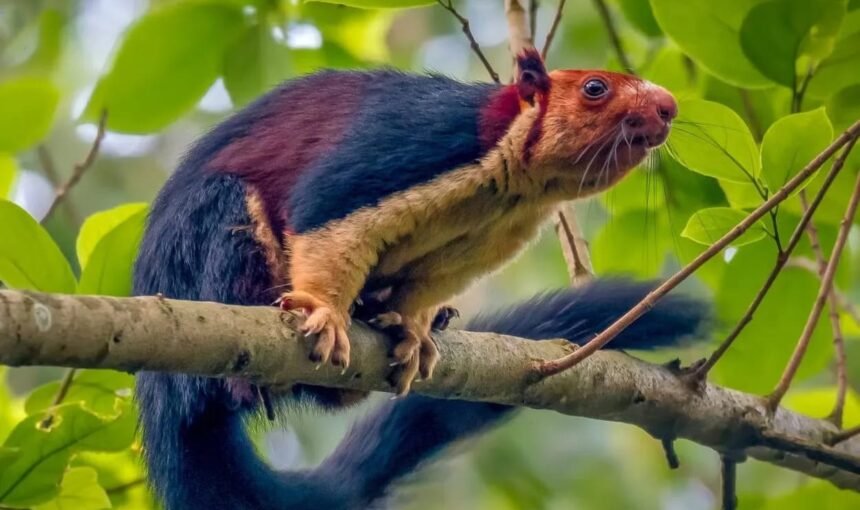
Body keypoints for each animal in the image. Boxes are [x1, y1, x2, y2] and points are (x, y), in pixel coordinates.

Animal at [133, 49, 707, 509]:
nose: (669, 107)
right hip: (206, 247)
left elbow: (430, 282)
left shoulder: (493, 237)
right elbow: (325, 210)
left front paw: (412, 328)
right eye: (595, 88)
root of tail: (161, 397)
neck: (515, 183)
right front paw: (324, 311)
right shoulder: (419, 142)